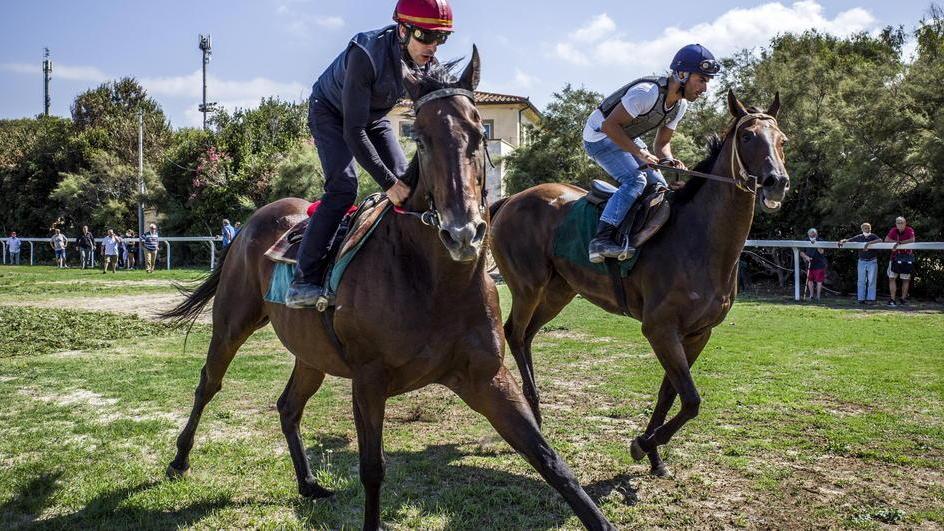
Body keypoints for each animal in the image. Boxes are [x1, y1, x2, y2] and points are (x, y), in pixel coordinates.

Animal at [159, 48, 613, 530]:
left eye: (478, 132)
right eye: (423, 138)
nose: (463, 233)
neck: (435, 283)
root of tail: (251, 222)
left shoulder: (487, 377)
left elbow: (550, 460)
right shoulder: (369, 381)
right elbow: (373, 469)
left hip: (311, 353)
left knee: (288, 406)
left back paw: (308, 482)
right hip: (232, 323)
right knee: (208, 383)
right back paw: (179, 460)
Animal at [489, 90, 789, 477]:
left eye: (782, 140)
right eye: (748, 136)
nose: (776, 182)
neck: (701, 240)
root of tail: (510, 199)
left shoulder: (698, 333)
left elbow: (670, 394)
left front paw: (655, 456)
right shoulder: (659, 328)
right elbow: (691, 400)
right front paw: (641, 444)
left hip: (559, 291)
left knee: (526, 336)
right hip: (528, 286)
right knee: (513, 332)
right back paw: (533, 419)